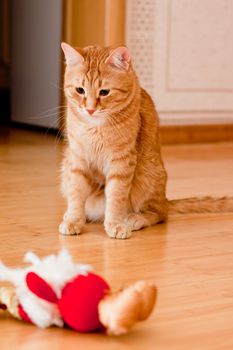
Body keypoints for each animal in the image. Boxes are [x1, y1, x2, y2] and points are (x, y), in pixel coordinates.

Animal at [59, 42, 232, 239]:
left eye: (104, 92)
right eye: (80, 90)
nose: (89, 109)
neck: (94, 127)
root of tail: (166, 199)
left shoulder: (122, 161)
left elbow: (116, 197)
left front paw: (115, 224)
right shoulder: (77, 159)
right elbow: (76, 194)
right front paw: (74, 220)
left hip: (147, 175)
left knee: (160, 214)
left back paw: (135, 219)